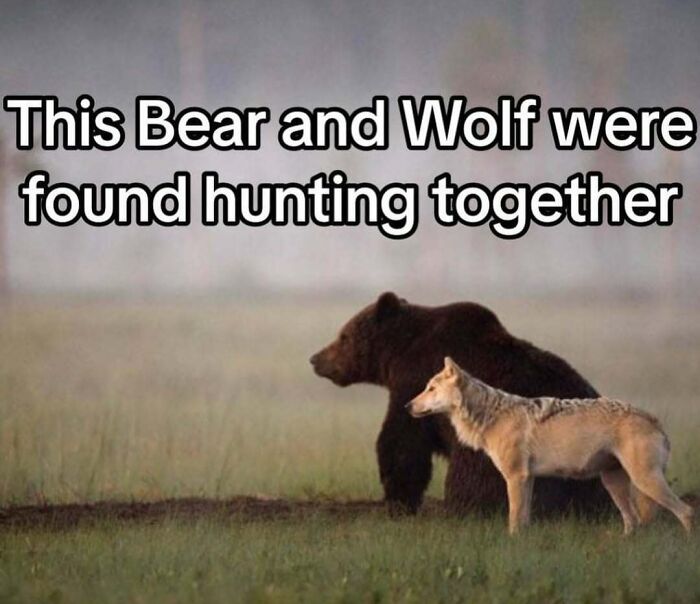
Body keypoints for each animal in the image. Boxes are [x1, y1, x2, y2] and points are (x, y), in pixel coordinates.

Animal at [310, 291, 611, 516]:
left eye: (344, 336)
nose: (315, 358)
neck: (399, 353)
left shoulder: (414, 382)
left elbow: (402, 443)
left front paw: (398, 500)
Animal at [408, 357, 693, 536]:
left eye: (430, 388)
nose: (407, 406)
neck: (491, 416)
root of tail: (653, 418)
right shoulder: (527, 478)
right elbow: (523, 519)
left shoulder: (515, 477)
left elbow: (513, 519)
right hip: (614, 484)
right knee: (633, 522)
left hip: (644, 481)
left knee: (687, 512)